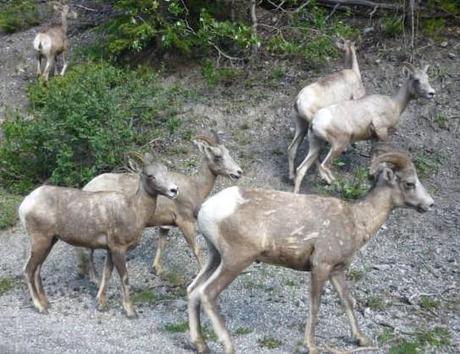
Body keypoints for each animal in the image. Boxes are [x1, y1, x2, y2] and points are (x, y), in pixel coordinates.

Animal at [18, 153, 176, 316]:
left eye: (165, 170)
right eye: (151, 175)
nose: (174, 190)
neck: (133, 210)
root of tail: (25, 205)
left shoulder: (110, 250)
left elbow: (107, 274)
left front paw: (101, 304)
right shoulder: (118, 248)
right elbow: (124, 277)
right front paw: (130, 311)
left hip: (50, 241)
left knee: (36, 270)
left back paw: (46, 303)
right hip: (40, 241)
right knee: (28, 270)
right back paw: (40, 306)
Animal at [77, 133, 243, 280]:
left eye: (228, 152)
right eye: (217, 156)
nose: (238, 172)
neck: (194, 186)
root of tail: (86, 188)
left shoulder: (165, 225)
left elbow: (161, 244)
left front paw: (157, 269)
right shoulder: (185, 221)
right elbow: (196, 249)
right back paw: (93, 278)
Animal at [292, 62, 436, 192]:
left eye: (427, 78)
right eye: (416, 79)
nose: (431, 93)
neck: (394, 105)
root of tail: (314, 122)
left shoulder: (374, 138)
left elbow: (373, 154)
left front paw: (371, 173)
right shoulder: (382, 132)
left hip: (316, 144)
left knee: (301, 169)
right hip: (338, 145)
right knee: (323, 166)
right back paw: (335, 183)